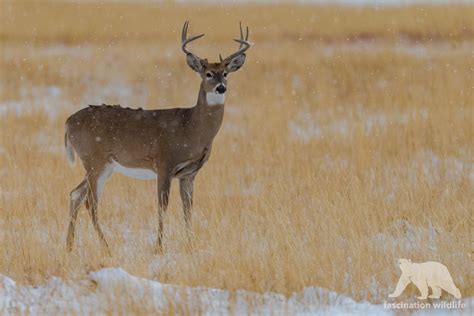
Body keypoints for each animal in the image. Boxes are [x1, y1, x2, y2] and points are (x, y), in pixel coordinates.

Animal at [65, 21, 252, 253]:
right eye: (208, 73)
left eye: (226, 73)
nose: (221, 87)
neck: (191, 128)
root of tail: (67, 122)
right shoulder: (165, 163)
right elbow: (162, 207)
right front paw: (159, 247)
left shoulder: (189, 174)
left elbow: (188, 209)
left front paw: (191, 244)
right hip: (94, 160)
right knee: (90, 202)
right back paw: (106, 247)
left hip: (103, 166)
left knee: (75, 194)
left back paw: (69, 246)